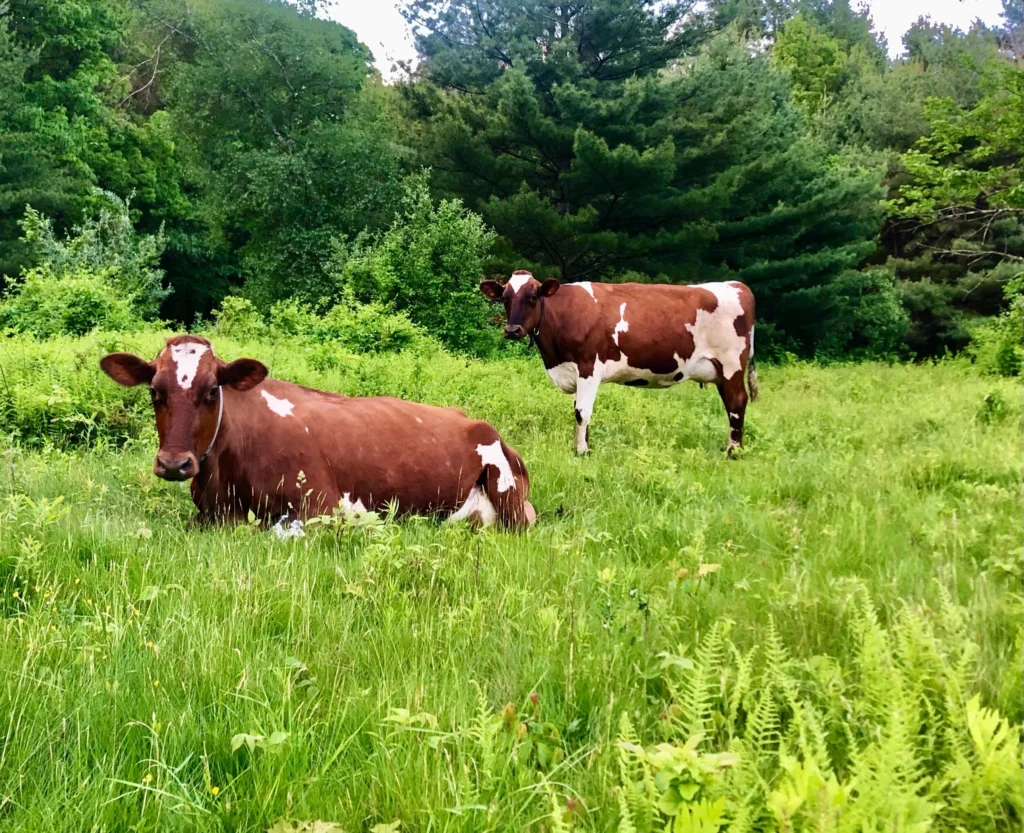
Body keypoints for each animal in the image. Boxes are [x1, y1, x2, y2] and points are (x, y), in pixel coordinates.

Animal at [99, 336, 535, 529]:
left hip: (508, 495)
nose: (174, 463)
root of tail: (472, 419)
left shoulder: (322, 508)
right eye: (154, 391)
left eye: (211, 391)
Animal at [480, 272, 758, 455]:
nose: (512, 330)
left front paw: (581, 452)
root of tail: (736, 285)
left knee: (736, 403)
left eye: (532, 297)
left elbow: (582, 412)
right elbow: (580, 412)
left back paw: (733, 452)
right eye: (505, 298)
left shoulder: (589, 366)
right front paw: (583, 445)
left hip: (731, 365)